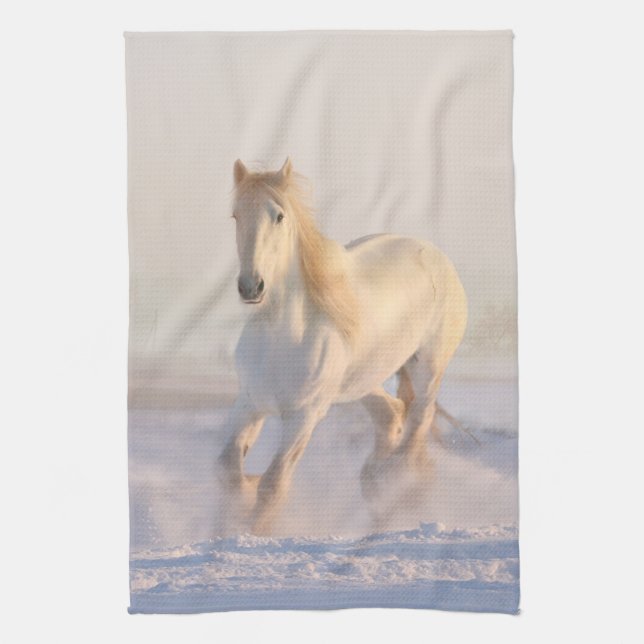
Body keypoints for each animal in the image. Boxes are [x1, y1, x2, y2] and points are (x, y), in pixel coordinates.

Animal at [218, 158, 468, 534]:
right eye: (235, 216)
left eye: (279, 216)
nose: (251, 286)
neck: (281, 339)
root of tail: (435, 254)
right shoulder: (249, 403)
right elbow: (229, 470)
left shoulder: (305, 415)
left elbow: (273, 483)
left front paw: (254, 531)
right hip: (361, 382)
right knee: (392, 415)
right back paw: (376, 485)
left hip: (427, 367)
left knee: (418, 421)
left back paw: (395, 488)